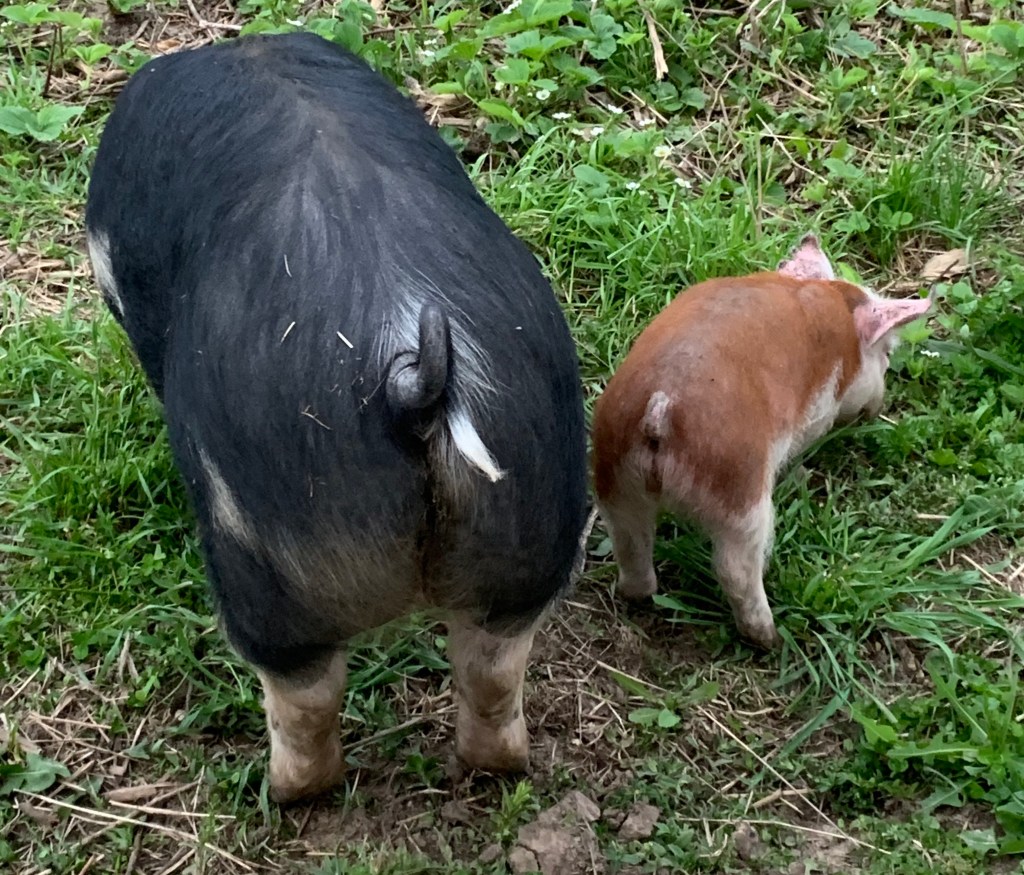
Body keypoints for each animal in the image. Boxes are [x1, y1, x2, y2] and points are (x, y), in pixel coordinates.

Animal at [85, 32, 587, 803]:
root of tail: (411, 374)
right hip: (533, 515)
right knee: (494, 665)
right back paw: (492, 766)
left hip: (275, 558)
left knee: (303, 688)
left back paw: (285, 791)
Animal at [591, 235, 932, 649]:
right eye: (886, 353)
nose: (877, 407)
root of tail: (660, 407)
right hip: (741, 492)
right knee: (736, 567)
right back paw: (770, 638)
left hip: (614, 477)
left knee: (629, 541)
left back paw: (637, 595)